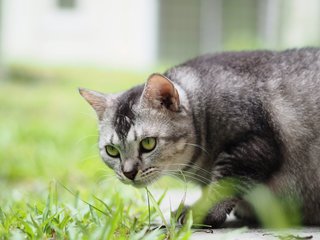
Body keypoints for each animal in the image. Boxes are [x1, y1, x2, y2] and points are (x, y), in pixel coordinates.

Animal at [79, 47, 320, 228]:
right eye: (112, 151)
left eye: (148, 143)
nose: (128, 173)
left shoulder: (255, 145)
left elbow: (223, 185)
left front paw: (201, 212)